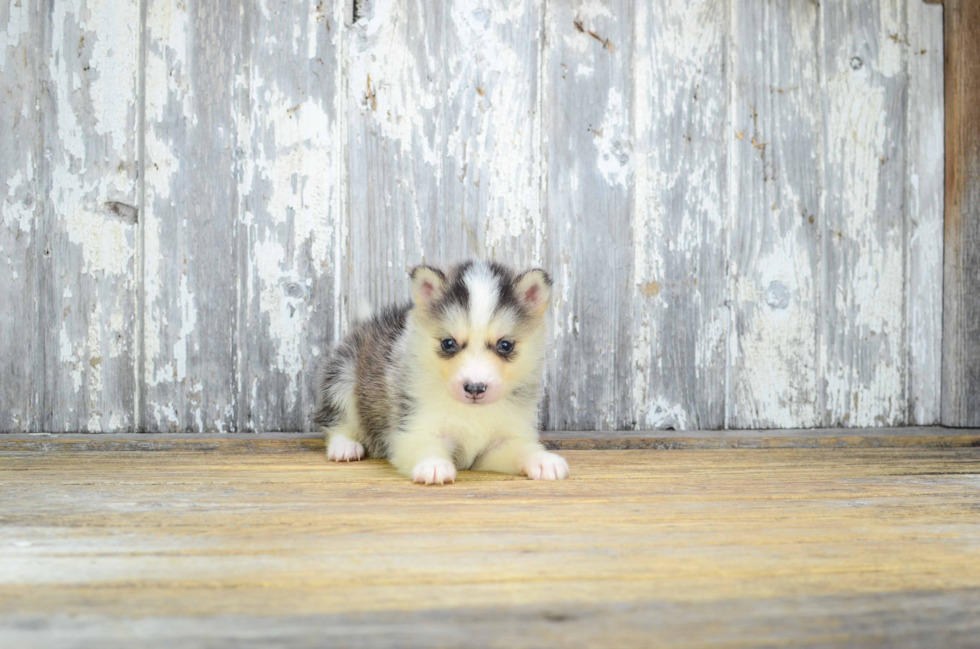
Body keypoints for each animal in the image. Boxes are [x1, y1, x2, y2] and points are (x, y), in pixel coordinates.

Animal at [318, 260, 572, 484]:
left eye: (505, 345)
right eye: (449, 343)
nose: (475, 388)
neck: (471, 413)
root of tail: (369, 323)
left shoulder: (497, 445)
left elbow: (523, 448)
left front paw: (542, 460)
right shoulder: (411, 428)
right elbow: (425, 445)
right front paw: (434, 464)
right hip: (342, 377)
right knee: (338, 422)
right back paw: (345, 446)